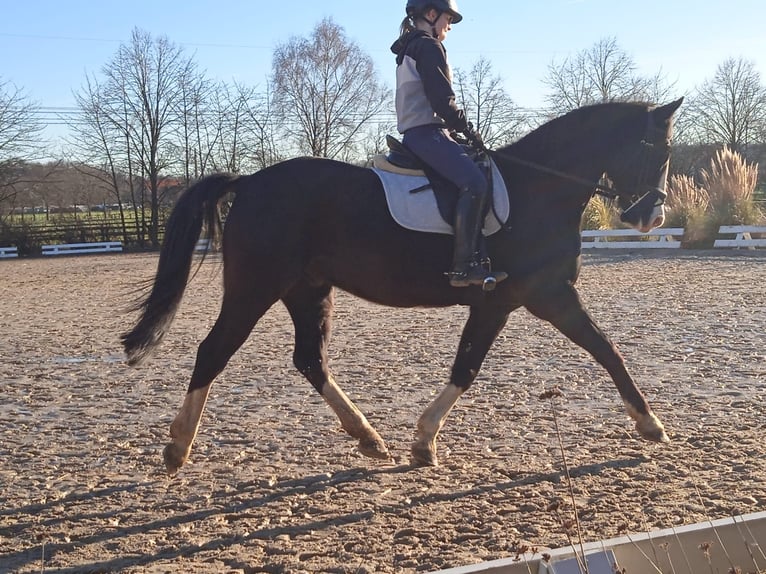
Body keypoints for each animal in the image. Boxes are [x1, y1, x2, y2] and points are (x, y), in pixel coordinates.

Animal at [123, 98, 683, 475]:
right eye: (656, 149)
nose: (652, 219)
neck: (539, 188)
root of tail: (251, 181)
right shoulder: (543, 295)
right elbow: (601, 351)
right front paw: (650, 424)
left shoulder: (506, 301)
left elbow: (476, 364)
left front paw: (421, 441)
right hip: (255, 289)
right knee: (213, 351)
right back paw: (178, 447)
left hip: (307, 290)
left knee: (309, 360)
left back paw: (368, 438)